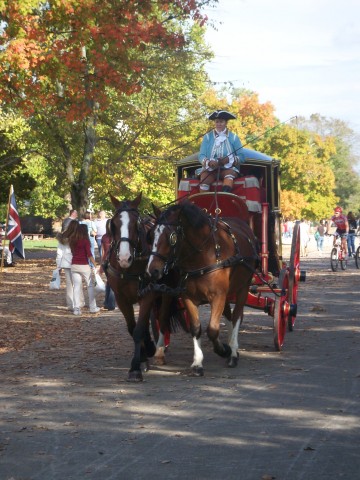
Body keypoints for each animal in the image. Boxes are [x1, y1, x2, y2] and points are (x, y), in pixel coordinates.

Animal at [146, 201, 258, 376]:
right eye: (151, 235)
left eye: (171, 237)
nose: (152, 270)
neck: (203, 255)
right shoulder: (188, 297)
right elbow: (196, 328)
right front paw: (197, 362)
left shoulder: (218, 296)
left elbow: (212, 329)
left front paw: (224, 350)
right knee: (229, 315)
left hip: (243, 287)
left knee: (237, 316)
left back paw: (232, 352)